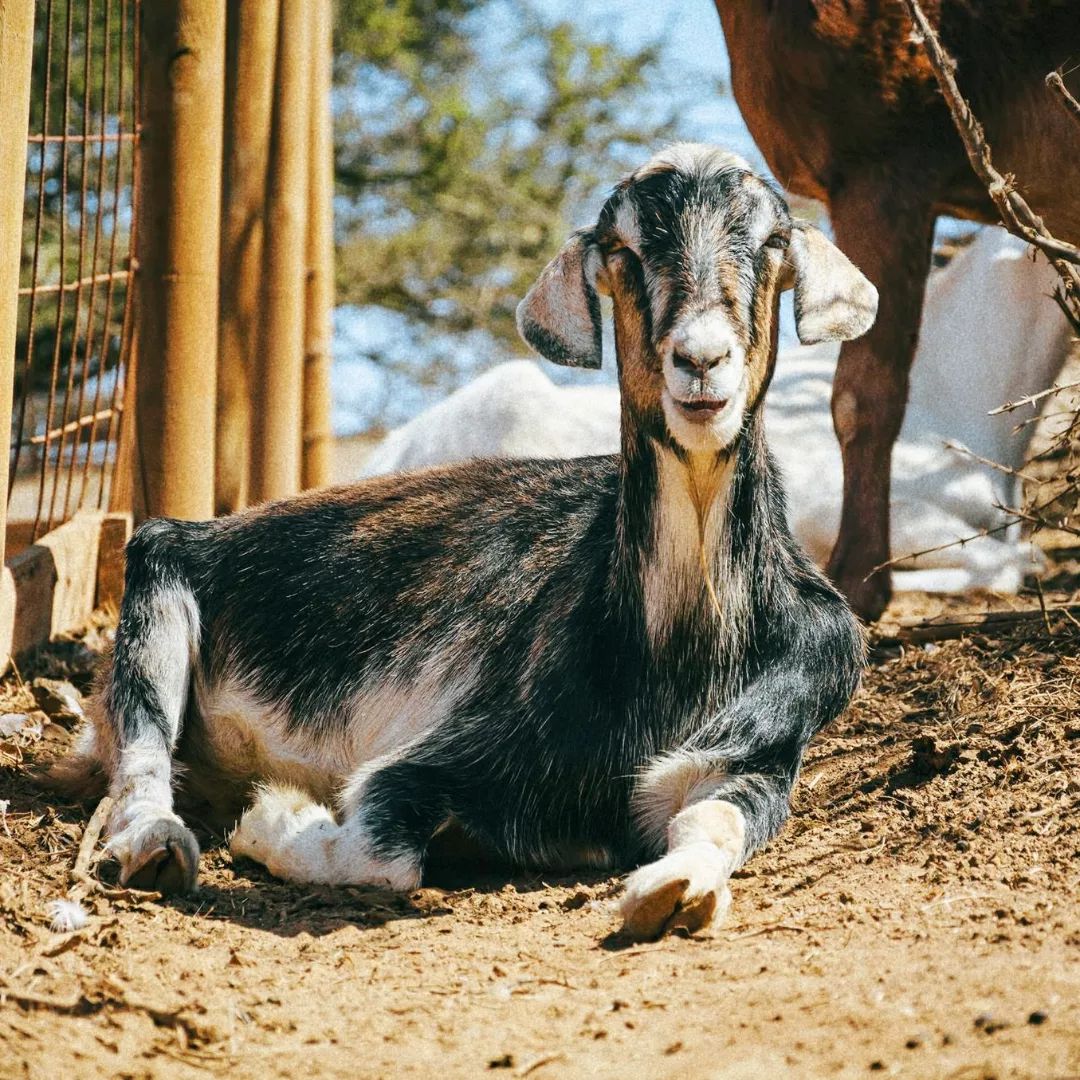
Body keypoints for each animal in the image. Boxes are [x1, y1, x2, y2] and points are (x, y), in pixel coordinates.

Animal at [69, 143, 868, 937]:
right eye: (623, 248)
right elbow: (379, 850)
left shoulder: (753, 760)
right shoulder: (445, 757)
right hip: (161, 578)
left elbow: (715, 826)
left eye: (772, 241)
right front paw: (275, 817)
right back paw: (156, 846)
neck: (681, 648)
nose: (701, 362)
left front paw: (674, 891)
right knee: (143, 749)